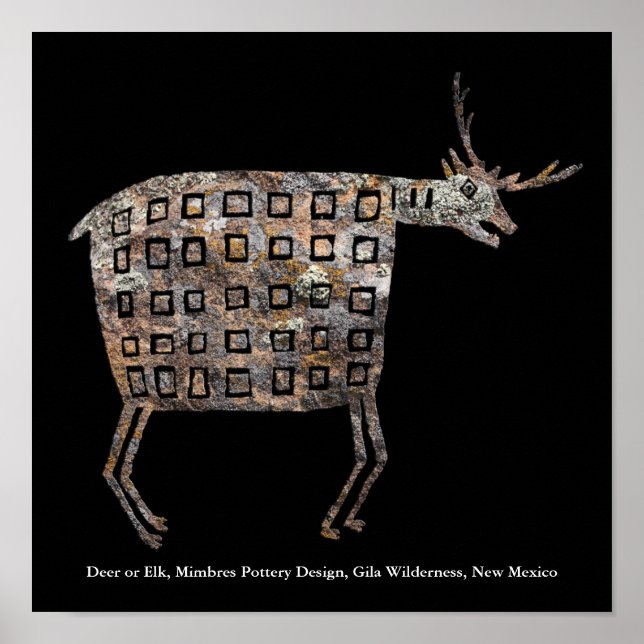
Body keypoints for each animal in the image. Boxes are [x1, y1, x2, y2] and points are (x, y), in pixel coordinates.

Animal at [69, 73, 581, 549]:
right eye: (470, 188)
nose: (509, 226)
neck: (391, 201)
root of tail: (88, 222)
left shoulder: (356, 379)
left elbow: (372, 452)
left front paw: (345, 520)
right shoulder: (359, 376)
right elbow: (373, 454)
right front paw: (334, 523)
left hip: (146, 389)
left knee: (121, 452)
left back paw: (152, 522)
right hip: (139, 378)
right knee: (114, 458)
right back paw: (146, 532)